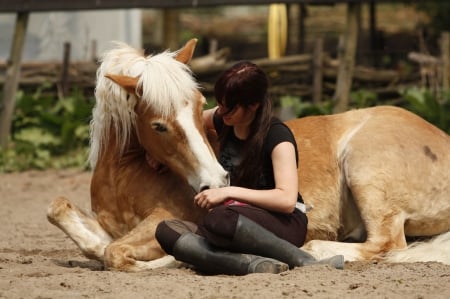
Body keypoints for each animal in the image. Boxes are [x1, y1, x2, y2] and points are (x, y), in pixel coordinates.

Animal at [46, 39, 229, 272]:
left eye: (201, 104)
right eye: (158, 126)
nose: (216, 183)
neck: (120, 178)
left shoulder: (166, 215)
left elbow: (114, 252)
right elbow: (59, 209)